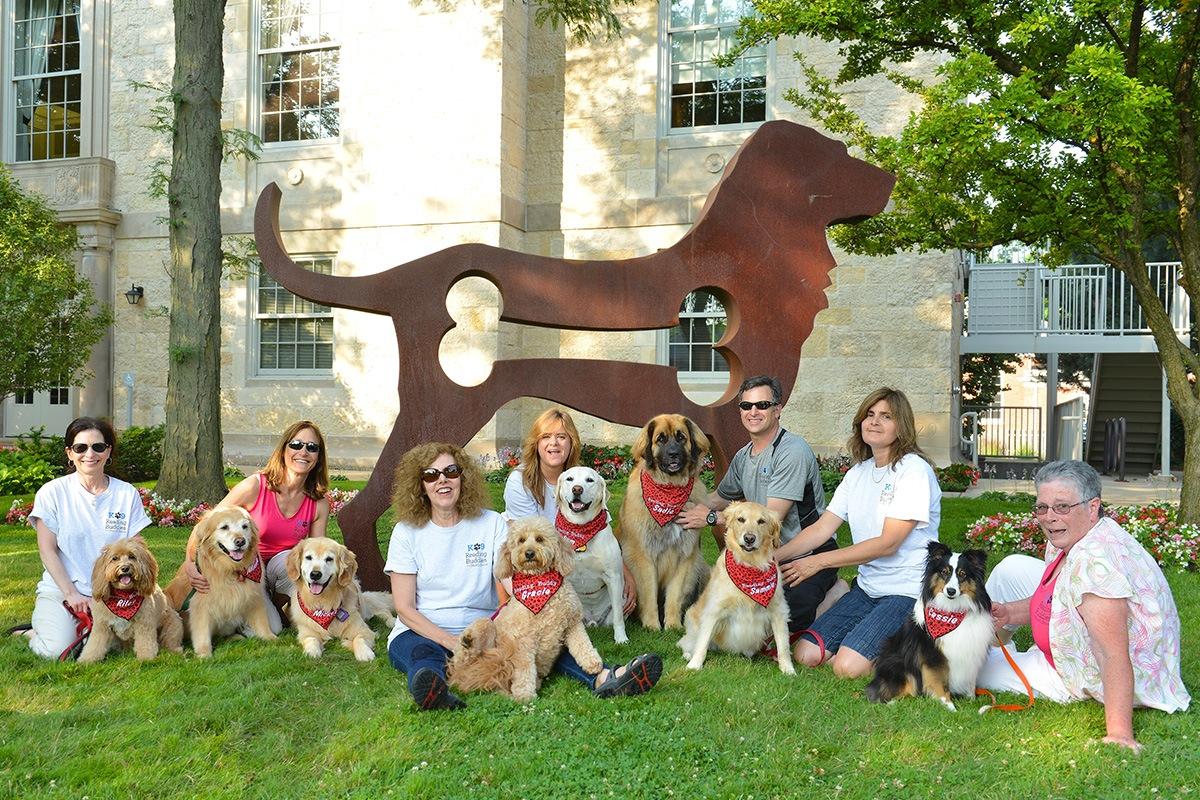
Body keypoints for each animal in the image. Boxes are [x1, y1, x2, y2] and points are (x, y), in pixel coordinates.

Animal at [164, 506, 276, 657]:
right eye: (224, 527)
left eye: (245, 526)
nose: (240, 541)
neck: (230, 569)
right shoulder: (200, 604)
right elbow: (202, 632)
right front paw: (204, 653)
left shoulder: (254, 595)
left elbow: (261, 619)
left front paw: (269, 637)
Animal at [448, 520, 604, 700]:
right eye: (521, 540)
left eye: (539, 539)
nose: (529, 553)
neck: (538, 581)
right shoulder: (523, 641)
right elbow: (525, 670)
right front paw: (525, 695)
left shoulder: (573, 623)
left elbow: (582, 643)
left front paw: (592, 662)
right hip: (486, 626)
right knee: (462, 659)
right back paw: (467, 642)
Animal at [619, 412, 710, 633]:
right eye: (660, 439)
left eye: (681, 437)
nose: (674, 454)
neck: (669, 489)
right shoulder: (643, 557)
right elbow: (649, 594)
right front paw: (652, 625)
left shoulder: (685, 557)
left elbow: (674, 596)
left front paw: (673, 625)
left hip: (702, 567)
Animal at [681, 503, 792, 671]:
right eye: (741, 519)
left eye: (761, 521)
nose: (749, 538)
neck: (750, 565)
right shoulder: (714, 610)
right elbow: (702, 642)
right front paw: (695, 665)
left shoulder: (778, 611)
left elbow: (783, 646)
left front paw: (788, 670)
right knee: (686, 642)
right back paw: (688, 654)